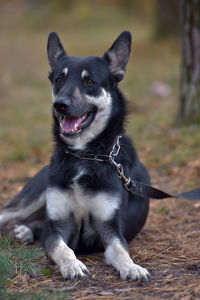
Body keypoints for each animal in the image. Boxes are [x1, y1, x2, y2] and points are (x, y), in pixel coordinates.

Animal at [0, 31, 150, 282]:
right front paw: (72, 265)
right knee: (9, 213)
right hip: (33, 197)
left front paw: (132, 267)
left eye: (89, 82)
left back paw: (26, 231)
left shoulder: (109, 228)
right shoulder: (59, 227)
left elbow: (121, 250)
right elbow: (63, 248)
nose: (60, 105)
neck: (85, 156)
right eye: (59, 80)